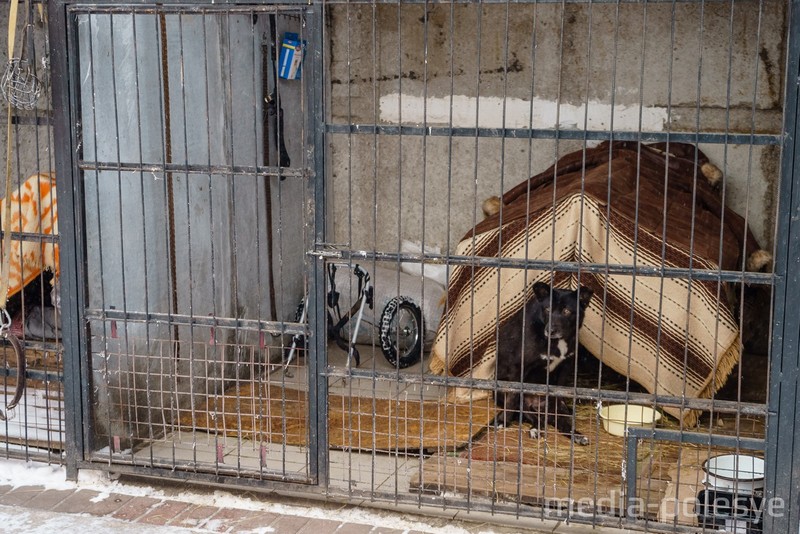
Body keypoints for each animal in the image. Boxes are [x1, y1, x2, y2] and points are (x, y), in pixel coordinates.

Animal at [494, 282, 592, 446]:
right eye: (547, 309)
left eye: (566, 311)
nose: (550, 330)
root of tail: (536, 404)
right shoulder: (519, 367)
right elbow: (512, 398)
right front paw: (503, 421)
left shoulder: (565, 367)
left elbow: (558, 398)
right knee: (533, 417)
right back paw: (535, 429)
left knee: (559, 420)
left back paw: (576, 435)